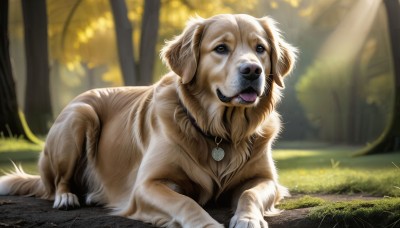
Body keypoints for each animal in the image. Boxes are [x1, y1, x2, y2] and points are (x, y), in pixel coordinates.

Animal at [0, 13, 296, 226]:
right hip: (79, 116)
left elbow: (250, 193)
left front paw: (248, 219)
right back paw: (67, 197)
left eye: (260, 48)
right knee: (58, 183)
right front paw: (207, 224)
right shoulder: (146, 185)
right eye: (221, 48)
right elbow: (185, 202)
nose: (252, 70)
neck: (220, 132)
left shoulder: (267, 179)